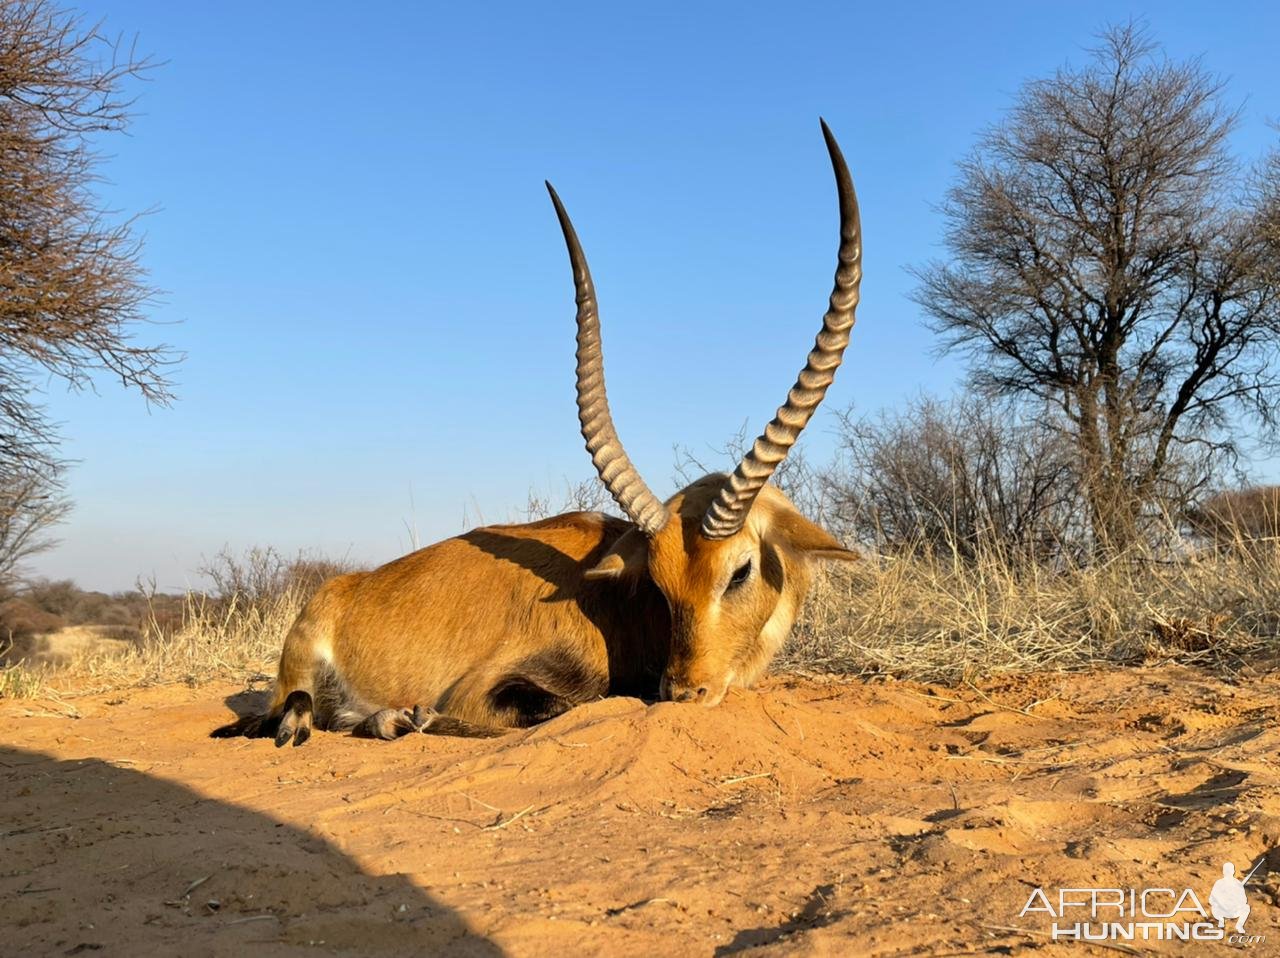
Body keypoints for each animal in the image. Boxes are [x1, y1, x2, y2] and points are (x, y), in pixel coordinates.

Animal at [215, 119, 865, 742]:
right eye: (658, 583)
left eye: (740, 571)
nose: (684, 692)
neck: (619, 603)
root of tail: (345, 587)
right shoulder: (483, 692)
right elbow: (559, 707)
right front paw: (411, 717)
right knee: (296, 710)